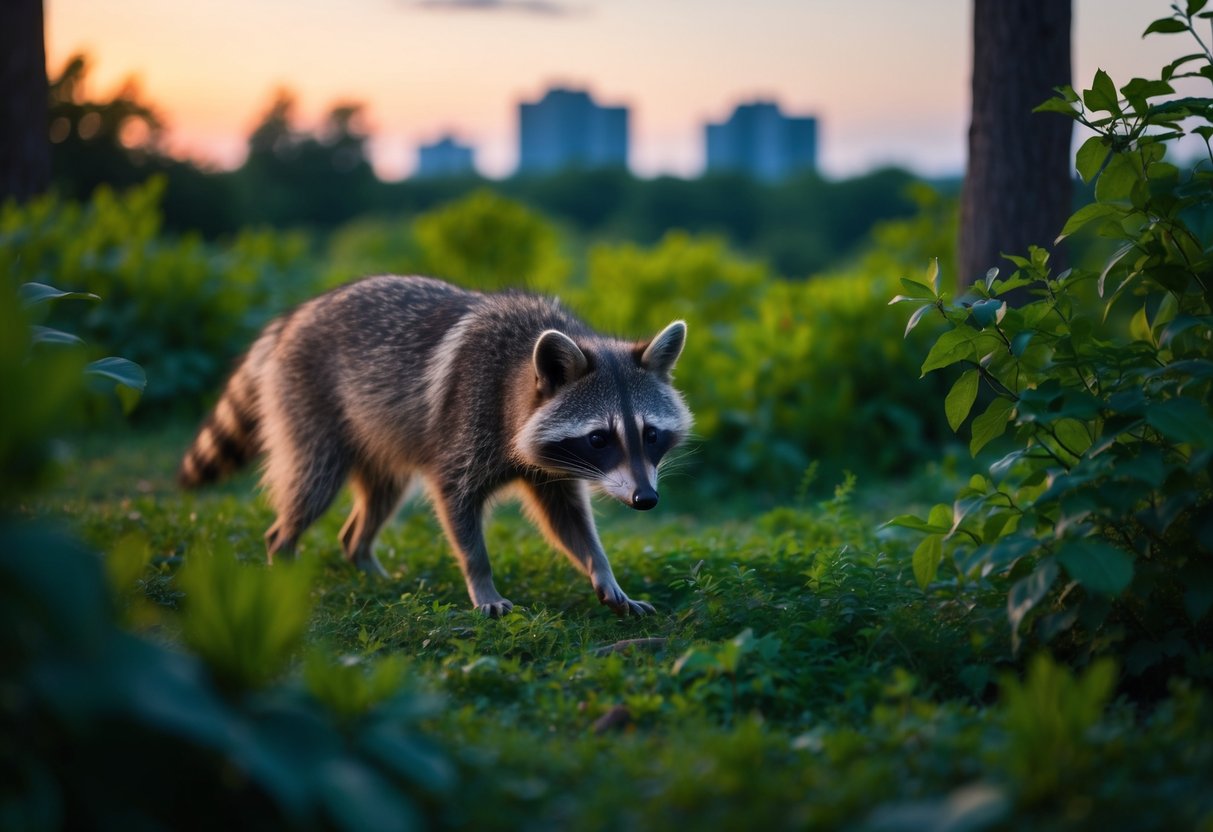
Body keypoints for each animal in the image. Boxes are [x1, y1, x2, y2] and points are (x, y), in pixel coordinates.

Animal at [179, 275, 692, 617]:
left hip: (379, 439)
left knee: (380, 497)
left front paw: (601, 569)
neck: (520, 374)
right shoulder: (467, 422)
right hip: (308, 407)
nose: (646, 499)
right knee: (312, 484)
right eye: (600, 438)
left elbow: (568, 520)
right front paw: (482, 581)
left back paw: (361, 556)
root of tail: (293, 319)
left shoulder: (550, 469)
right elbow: (457, 504)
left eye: (650, 434)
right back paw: (283, 547)